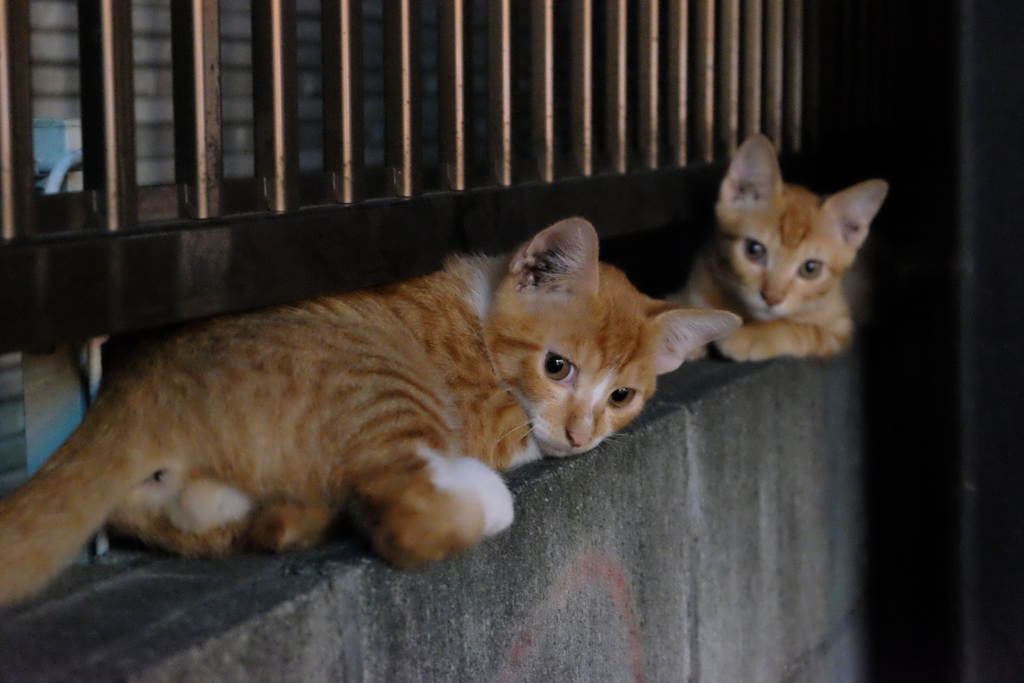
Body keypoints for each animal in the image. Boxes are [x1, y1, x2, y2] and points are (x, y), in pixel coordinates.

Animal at [671, 133, 888, 362]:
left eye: (810, 268)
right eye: (754, 250)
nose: (772, 298)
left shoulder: (839, 330)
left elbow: (800, 329)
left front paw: (755, 335)